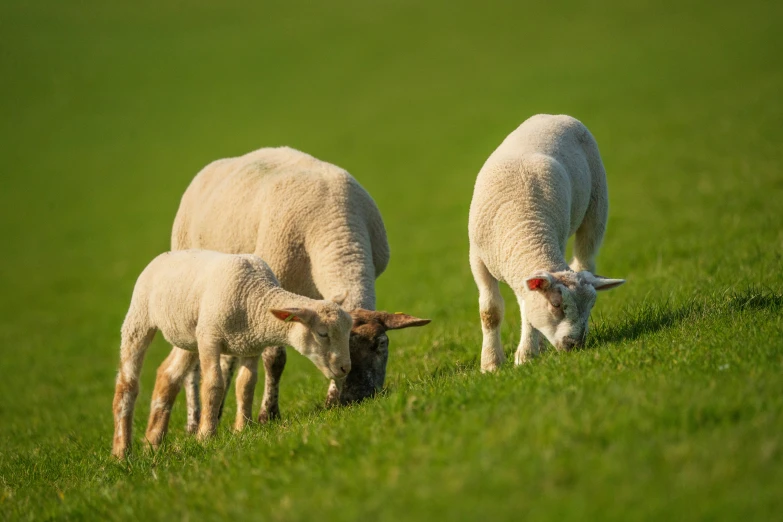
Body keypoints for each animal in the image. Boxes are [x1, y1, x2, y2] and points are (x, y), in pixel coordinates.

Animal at [111, 250, 352, 458]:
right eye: (322, 333)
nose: (345, 368)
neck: (255, 297)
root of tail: (166, 254)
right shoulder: (210, 338)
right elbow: (213, 385)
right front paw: (206, 436)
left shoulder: (251, 344)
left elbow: (246, 384)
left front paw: (242, 428)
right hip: (139, 318)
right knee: (127, 383)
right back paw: (121, 452)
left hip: (188, 337)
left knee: (168, 375)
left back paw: (152, 442)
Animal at [155, 146, 432, 430]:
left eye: (382, 344)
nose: (360, 396)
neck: (337, 230)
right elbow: (274, 359)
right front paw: (268, 414)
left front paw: (331, 399)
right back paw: (193, 423)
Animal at [468, 115, 628, 372]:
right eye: (555, 304)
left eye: (592, 306)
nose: (575, 345)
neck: (525, 226)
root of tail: (555, 116)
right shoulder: (478, 259)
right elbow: (490, 311)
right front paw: (491, 364)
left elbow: (527, 312)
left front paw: (526, 356)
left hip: (597, 207)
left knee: (585, 260)